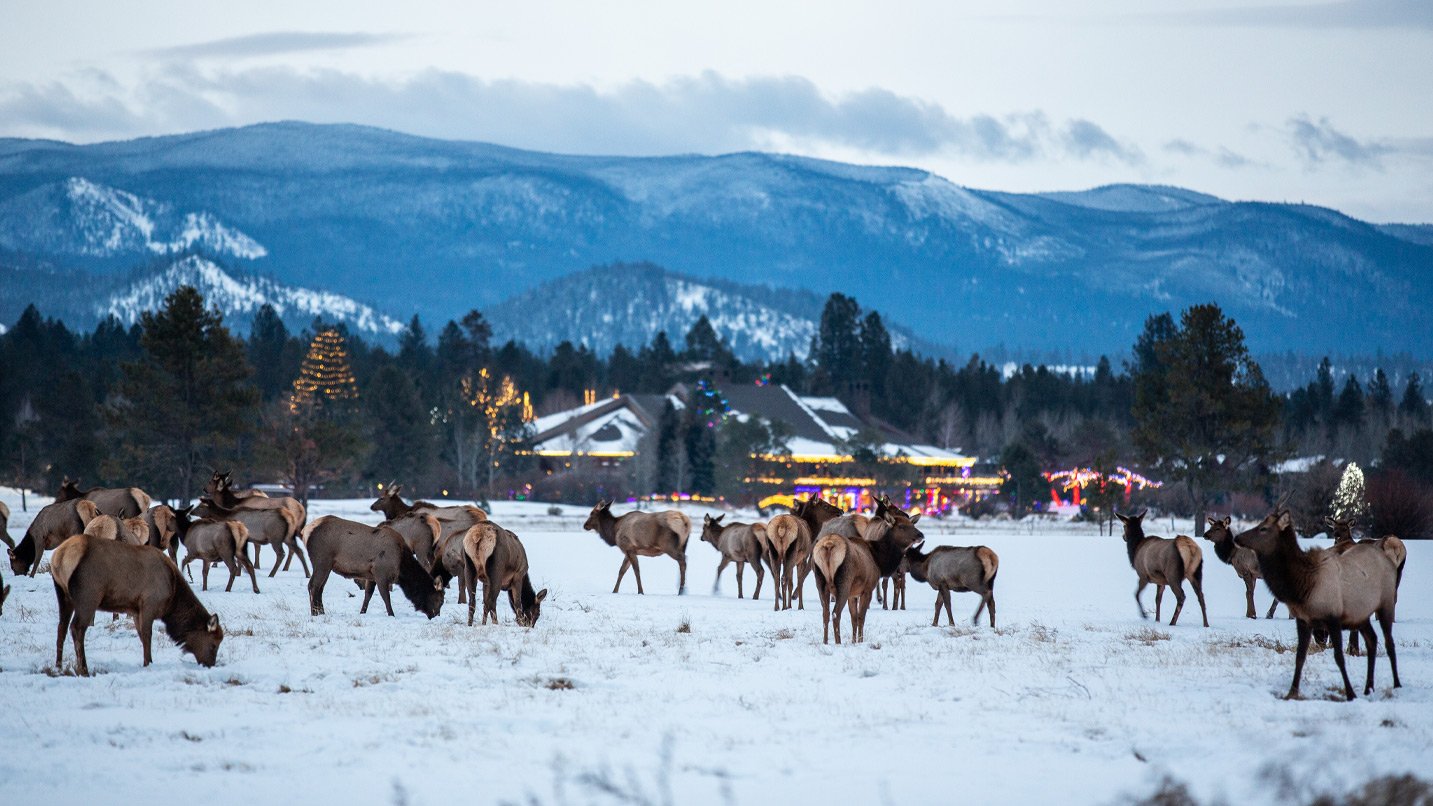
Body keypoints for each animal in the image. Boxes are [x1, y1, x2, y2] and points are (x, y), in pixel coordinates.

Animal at [50, 534, 224, 676]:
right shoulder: (149, 604)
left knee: (61, 627)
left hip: (63, 595)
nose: (210, 665)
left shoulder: (135, 609)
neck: (172, 595)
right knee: (76, 628)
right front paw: (148, 663)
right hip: (88, 596)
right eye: (214, 644)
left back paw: (58, 666)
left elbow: (140, 635)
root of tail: (59, 557)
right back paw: (84, 669)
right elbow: (147, 635)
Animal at [302, 515, 444, 619]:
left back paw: (321, 612)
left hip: (327, 565)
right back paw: (314, 613)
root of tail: (306, 532)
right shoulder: (381, 573)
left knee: (320, 587)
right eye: (439, 600)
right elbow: (386, 597)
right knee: (313, 585)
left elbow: (368, 595)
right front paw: (392, 615)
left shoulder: (371, 575)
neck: (401, 566)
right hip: (322, 560)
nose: (436, 616)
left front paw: (362, 612)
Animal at [1235, 510, 1400, 700]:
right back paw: (1368, 685)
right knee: (1372, 639)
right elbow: (1300, 656)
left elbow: (1338, 656)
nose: (1238, 538)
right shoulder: (1307, 620)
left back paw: (1395, 684)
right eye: (1334, 528)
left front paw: (1350, 691)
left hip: (1384, 604)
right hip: (1363, 612)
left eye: (1263, 528)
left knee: (1388, 641)